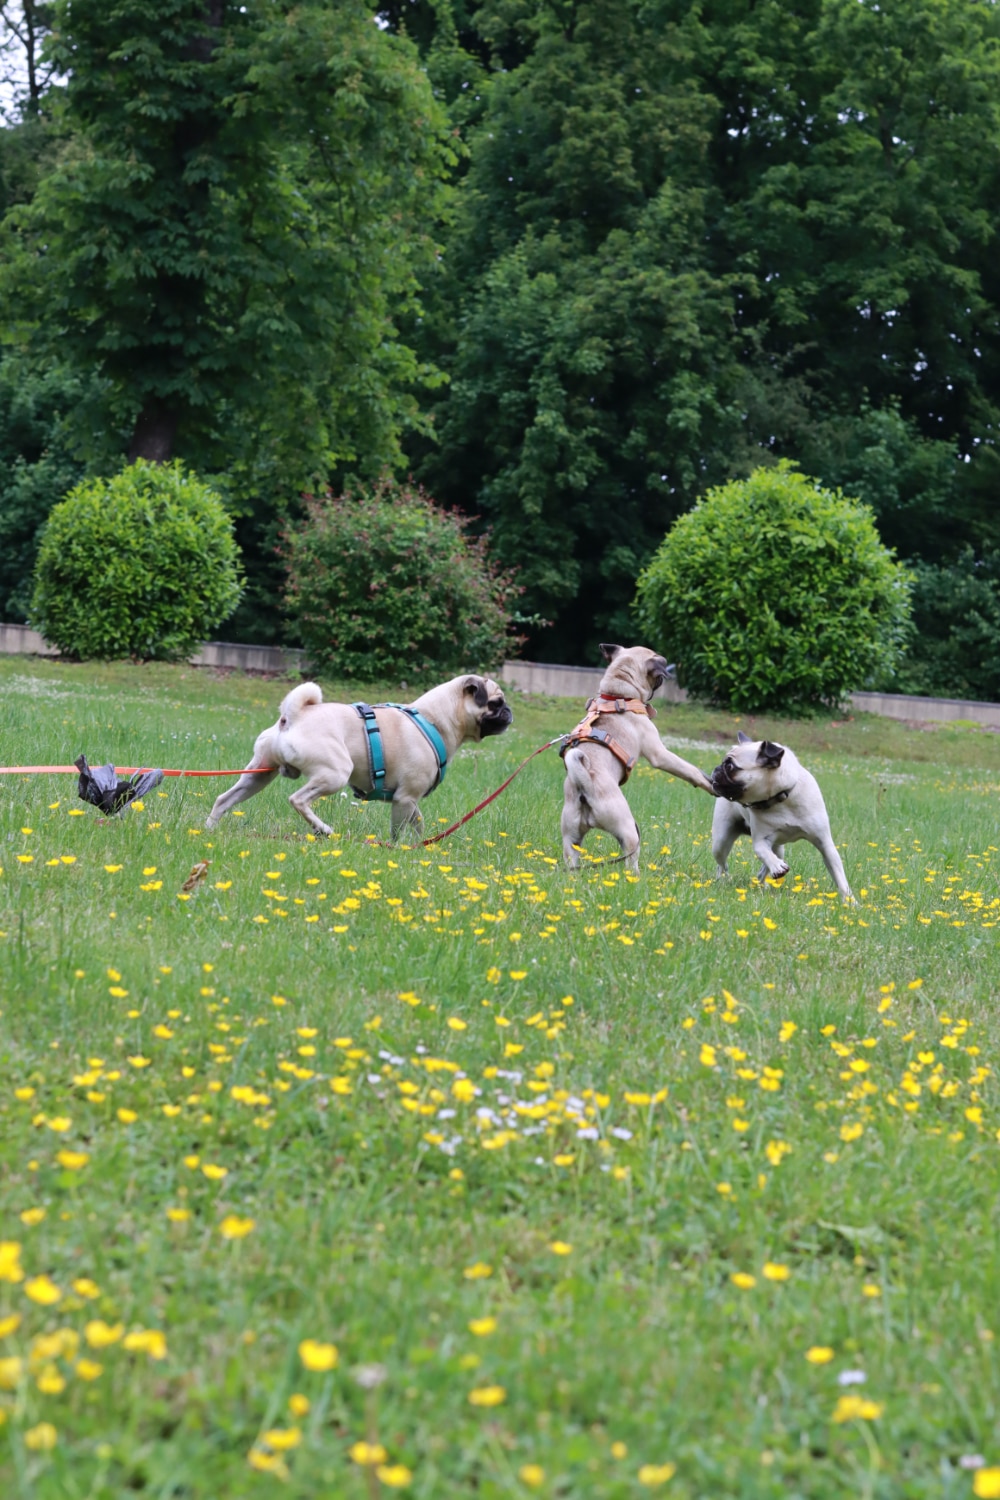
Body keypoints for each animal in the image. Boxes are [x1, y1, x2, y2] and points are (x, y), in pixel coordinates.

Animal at [206, 675, 512, 837]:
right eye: (495, 703)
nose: (509, 711)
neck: (433, 719)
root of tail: (293, 715)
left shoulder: (410, 801)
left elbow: (418, 823)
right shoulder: (404, 798)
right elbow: (397, 830)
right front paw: (396, 849)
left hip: (258, 775)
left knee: (224, 799)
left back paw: (209, 829)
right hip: (335, 773)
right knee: (298, 800)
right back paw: (323, 829)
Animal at [560, 643, 716, 872]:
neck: (618, 696)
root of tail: (584, 783)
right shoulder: (659, 753)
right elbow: (690, 770)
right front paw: (709, 783)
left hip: (571, 838)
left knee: (572, 862)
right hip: (628, 830)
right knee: (630, 859)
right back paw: (635, 876)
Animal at [710, 731, 853, 900]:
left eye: (730, 766)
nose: (716, 769)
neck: (781, 798)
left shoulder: (825, 844)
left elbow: (840, 877)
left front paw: (850, 901)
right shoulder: (760, 841)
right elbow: (764, 853)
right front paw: (777, 866)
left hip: (778, 849)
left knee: (763, 870)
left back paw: (762, 884)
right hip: (721, 842)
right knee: (722, 864)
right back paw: (723, 880)